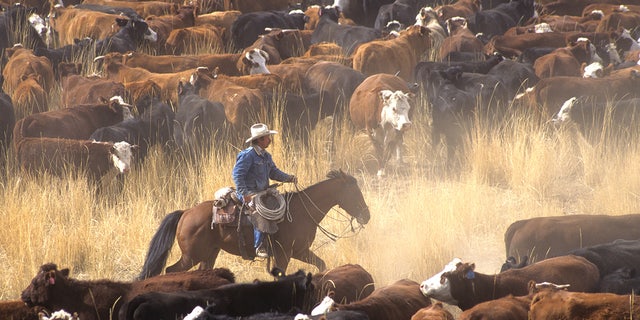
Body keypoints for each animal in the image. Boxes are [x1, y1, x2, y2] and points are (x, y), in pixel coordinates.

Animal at [139, 170, 370, 280]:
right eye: (354, 192)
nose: (366, 216)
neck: (301, 212)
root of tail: (186, 212)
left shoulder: (301, 251)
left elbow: (321, 265)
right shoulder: (284, 254)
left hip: (209, 254)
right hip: (191, 256)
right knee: (170, 270)